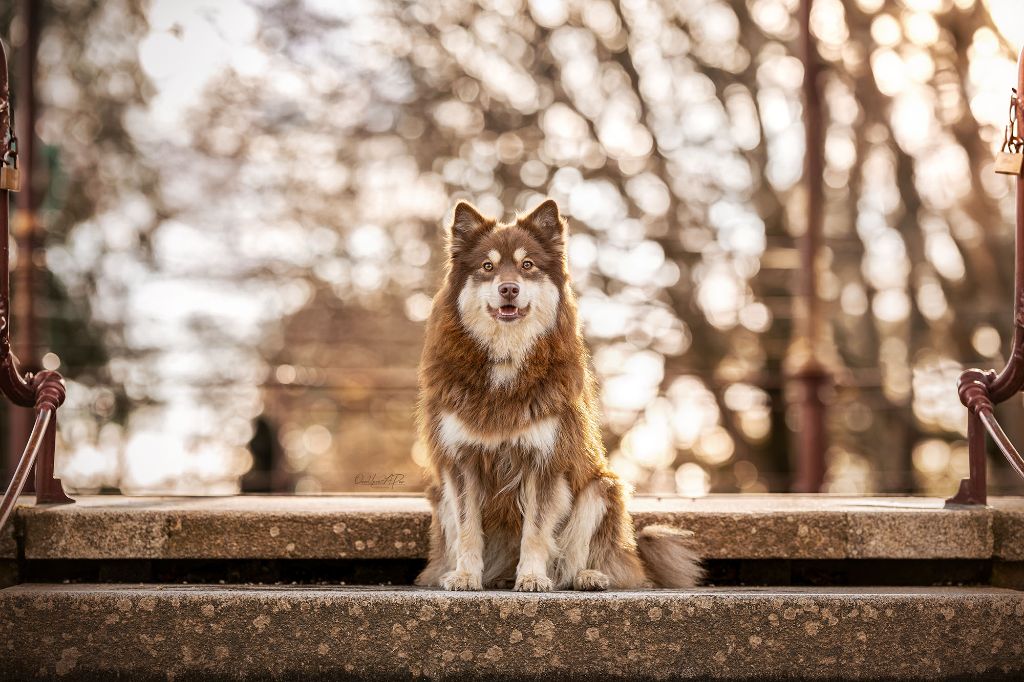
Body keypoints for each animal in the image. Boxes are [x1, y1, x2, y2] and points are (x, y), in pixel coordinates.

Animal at [411, 197, 700, 589]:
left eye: (527, 265)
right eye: (487, 266)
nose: (509, 289)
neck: (506, 358)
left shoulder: (546, 462)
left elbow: (536, 531)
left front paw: (533, 577)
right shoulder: (461, 461)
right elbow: (469, 529)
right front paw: (466, 575)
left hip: (601, 488)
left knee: (584, 557)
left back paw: (587, 576)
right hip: (440, 495)